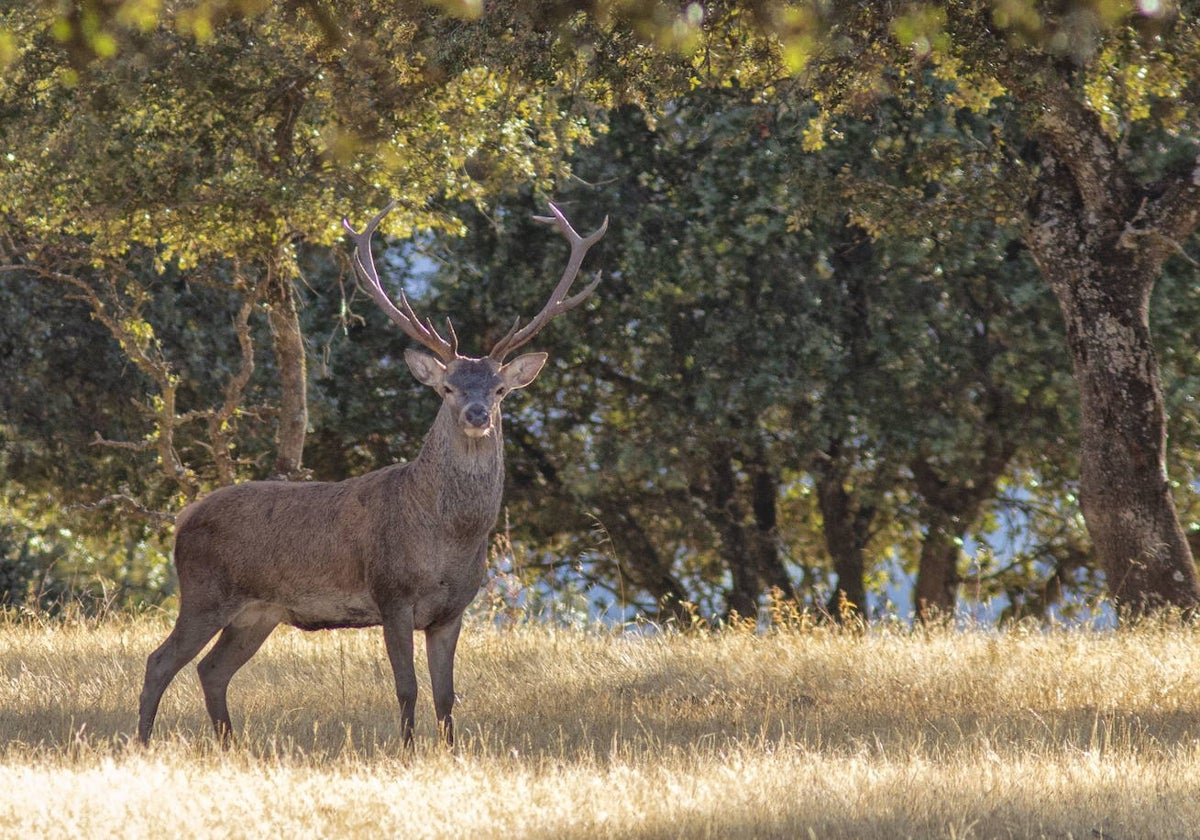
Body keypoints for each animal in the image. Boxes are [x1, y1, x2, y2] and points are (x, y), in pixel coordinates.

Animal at [138, 201, 609, 748]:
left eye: (499, 390)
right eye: (447, 388)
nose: (476, 414)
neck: (449, 539)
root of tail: (182, 518)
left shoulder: (453, 611)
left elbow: (447, 695)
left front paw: (450, 753)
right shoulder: (392, 594)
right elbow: (407, 688)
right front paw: (405, 751)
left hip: (260, 611)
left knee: (212, 669)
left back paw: (230, 744)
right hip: (204, 590)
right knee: (160, 661)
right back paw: (142, 742)